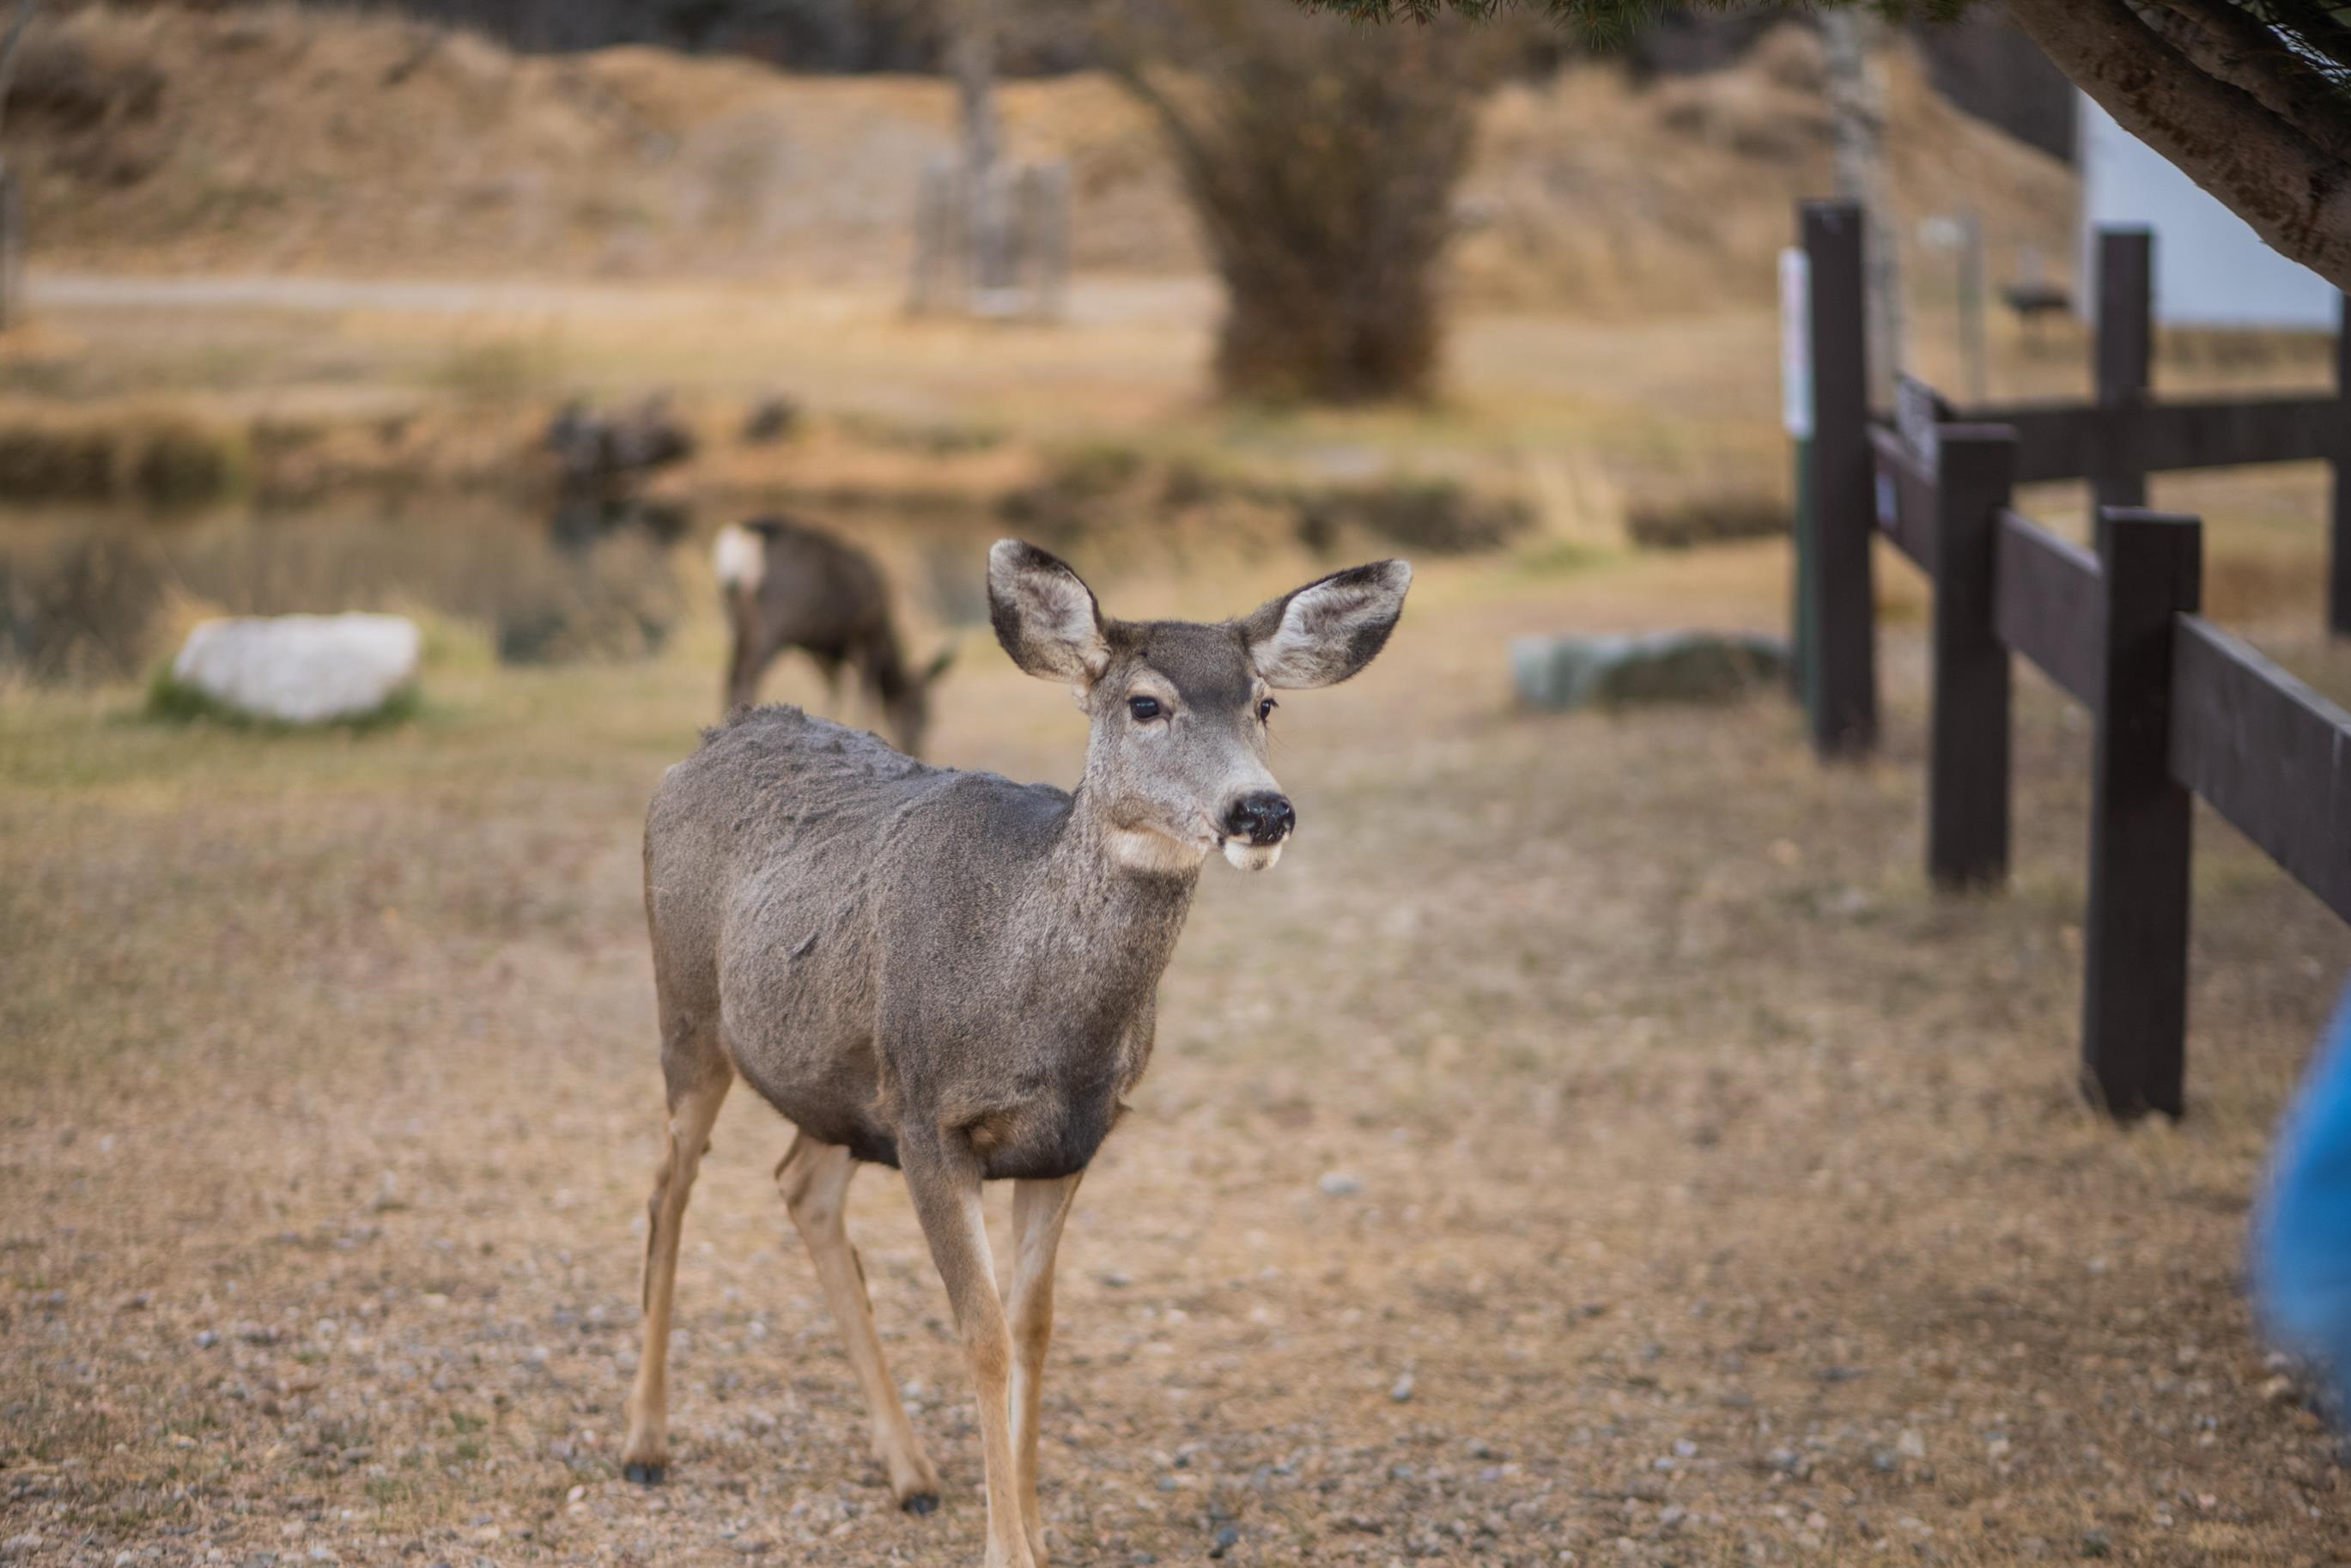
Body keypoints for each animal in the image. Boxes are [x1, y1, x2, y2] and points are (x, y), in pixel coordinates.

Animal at [616, 543, 1410, 1568]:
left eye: (1265, 703)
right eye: (1144, 703)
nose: (1260, 810)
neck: (1031, 1004)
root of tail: (705, 743)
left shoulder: (1070, 1139)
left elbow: (1033, 1328)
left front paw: (1033, 1529)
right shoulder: (928, 1115)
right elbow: (983, 1331)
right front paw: (1006, 1546)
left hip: (843, 1084)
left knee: (799, 1183)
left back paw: (910, 1470)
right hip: (688, 1009)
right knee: (669, 1184)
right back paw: (644, 1443)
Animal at [705, 517, 954, 757]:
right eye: (921, 710)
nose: (917, 748)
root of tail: (743, 538)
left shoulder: (823, 650)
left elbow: (833, 689)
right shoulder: (864, 637)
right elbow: (865, 693)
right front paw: (865, 727)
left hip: (734, 619)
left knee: (731, 674)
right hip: (775, 619)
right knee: (747, 674)